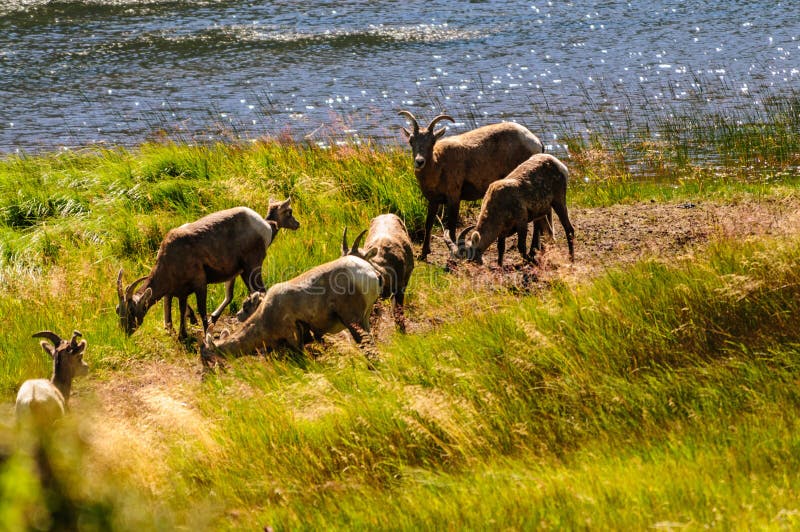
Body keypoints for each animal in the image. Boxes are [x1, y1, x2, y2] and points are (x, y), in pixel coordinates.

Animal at [203, 249, 384, 366]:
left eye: (206, 354)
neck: (265, 316)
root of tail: (370, 273)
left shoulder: (294, 340)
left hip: (353, 320)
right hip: (364, 319)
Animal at [398, 110, 544, 260]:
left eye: (432, 141)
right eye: (411, 141)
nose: (419, 161)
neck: (438, 165)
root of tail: (537, 142)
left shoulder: (454, 197)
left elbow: (451, 226)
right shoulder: (433, 200)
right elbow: (428, 224)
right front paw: (423, 254)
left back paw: (532, 250)